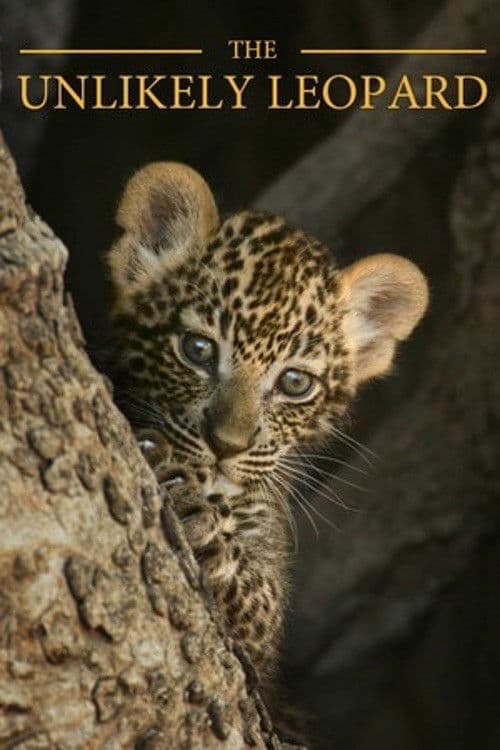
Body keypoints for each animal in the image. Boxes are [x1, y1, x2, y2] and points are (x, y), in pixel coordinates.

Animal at [105, 161, 428, 694]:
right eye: (197, 350)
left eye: (295, 383)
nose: (225, 446)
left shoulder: (263, 630)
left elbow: (258, 594)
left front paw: (195, 513)